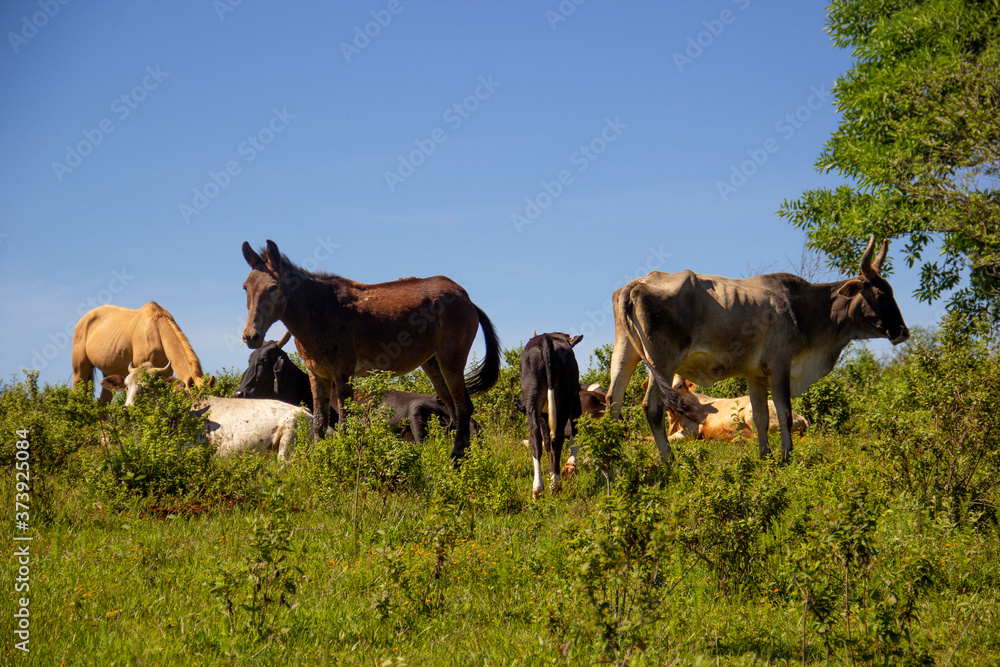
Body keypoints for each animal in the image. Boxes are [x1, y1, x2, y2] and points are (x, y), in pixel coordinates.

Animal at [240, 239, 501, 461]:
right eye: (245, 287)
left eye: (273, 287)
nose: (250, 336)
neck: (320, 311)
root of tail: (466, 298)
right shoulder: (318, 374)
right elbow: (319, 423)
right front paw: (319, 462)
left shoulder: (342, 373)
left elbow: (345, 422)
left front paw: (343, 461)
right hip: (433, 363)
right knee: (455, 410)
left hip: (451, 359)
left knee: (464, 408)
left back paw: (457, 461)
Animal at [518, 332, 584, 499]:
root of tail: (545, 338)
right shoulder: (575, 401)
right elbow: (574, 435)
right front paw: (569, 466)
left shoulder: (543, 413)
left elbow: (547, 442)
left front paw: (550, 472)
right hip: (566, 398)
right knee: (559, 436)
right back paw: (555, 484)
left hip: (532, 397)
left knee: (536, 436)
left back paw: (538, 487)